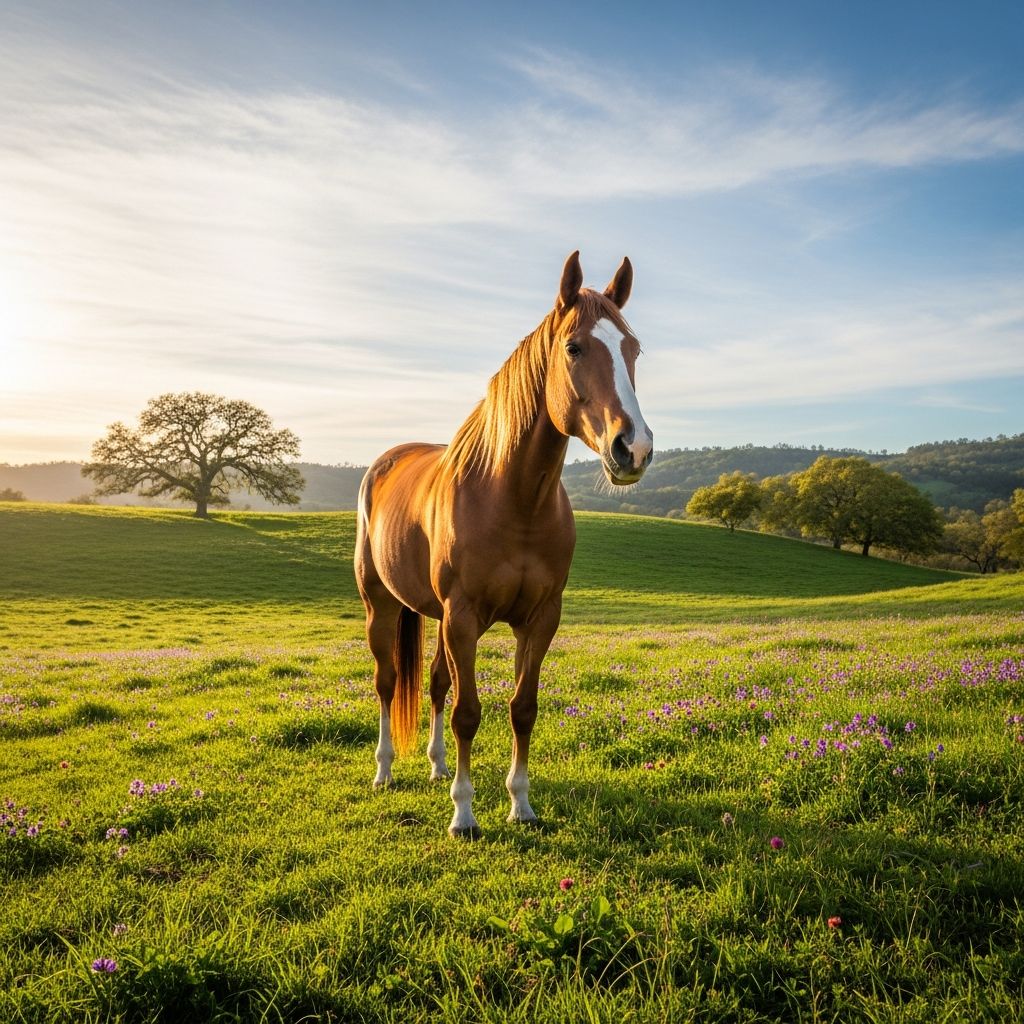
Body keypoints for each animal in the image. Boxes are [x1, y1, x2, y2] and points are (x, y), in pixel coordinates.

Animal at [354, 251, 653, 837]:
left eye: (633, 349)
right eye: (573, 347)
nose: (633, 448)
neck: (512, 499)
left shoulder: (539, 619)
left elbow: (522, 707)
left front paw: (520, 804)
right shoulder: (464, 617)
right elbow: (469, 713)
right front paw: (464, 813)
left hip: (435, 616)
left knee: (434, 684)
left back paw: (435, 765)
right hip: (384, 606)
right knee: (387, 681)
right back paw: (386, 770)